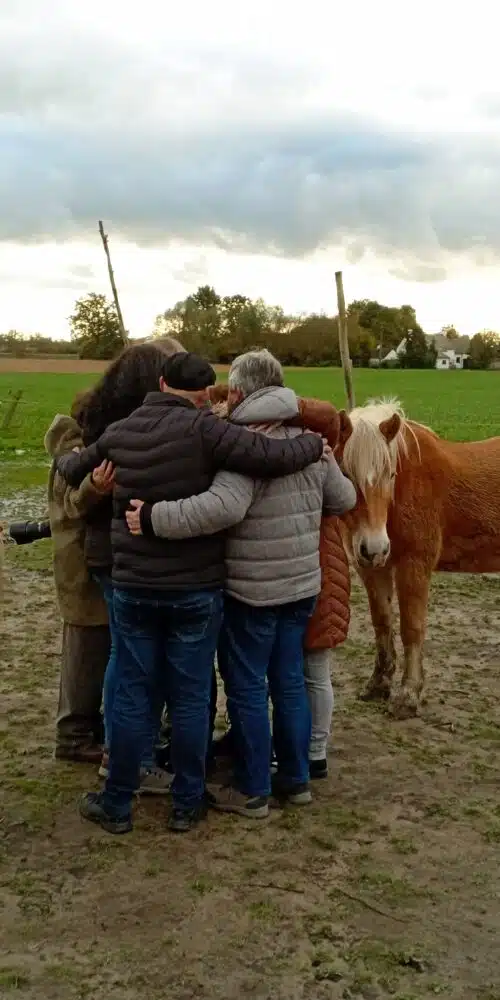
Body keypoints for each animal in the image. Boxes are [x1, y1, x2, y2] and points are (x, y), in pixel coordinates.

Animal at [334, 398, 500, 719]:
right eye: (345, 474)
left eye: (390, 475)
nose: (374, 547)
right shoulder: (373, 568)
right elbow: (382, 622)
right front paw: (378, 684)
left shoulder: (414, 565)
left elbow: (411, 627)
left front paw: (408, 695)